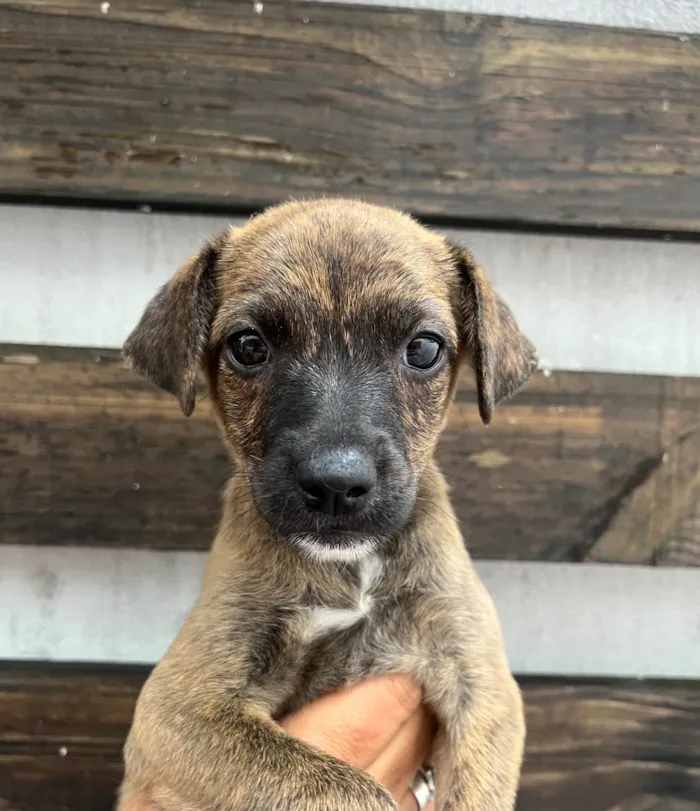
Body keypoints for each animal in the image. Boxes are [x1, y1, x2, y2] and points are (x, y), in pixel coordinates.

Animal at [119, 198, 536, 811]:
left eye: (423, 348)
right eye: (248, 346)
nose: (336, 484)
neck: (349, 569)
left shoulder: (483, 685)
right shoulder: (178, 710)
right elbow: (341, 786)